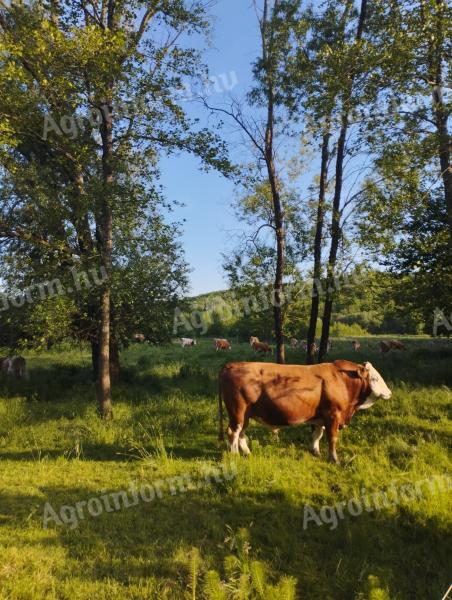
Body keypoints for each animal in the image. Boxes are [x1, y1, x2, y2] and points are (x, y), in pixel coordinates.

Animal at [217, 358, 390, 462]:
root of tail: (232, 365)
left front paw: (316, 452)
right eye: (375, 378)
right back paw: (235, 456)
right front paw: (334, 459)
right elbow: (332, 438)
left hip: (245, 415)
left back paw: (247, 453)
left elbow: (317, 435)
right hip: (237, 412)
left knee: (241, 433)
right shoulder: (333, 415)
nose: (389, 392)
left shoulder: (321, 418)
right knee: (233, 433)